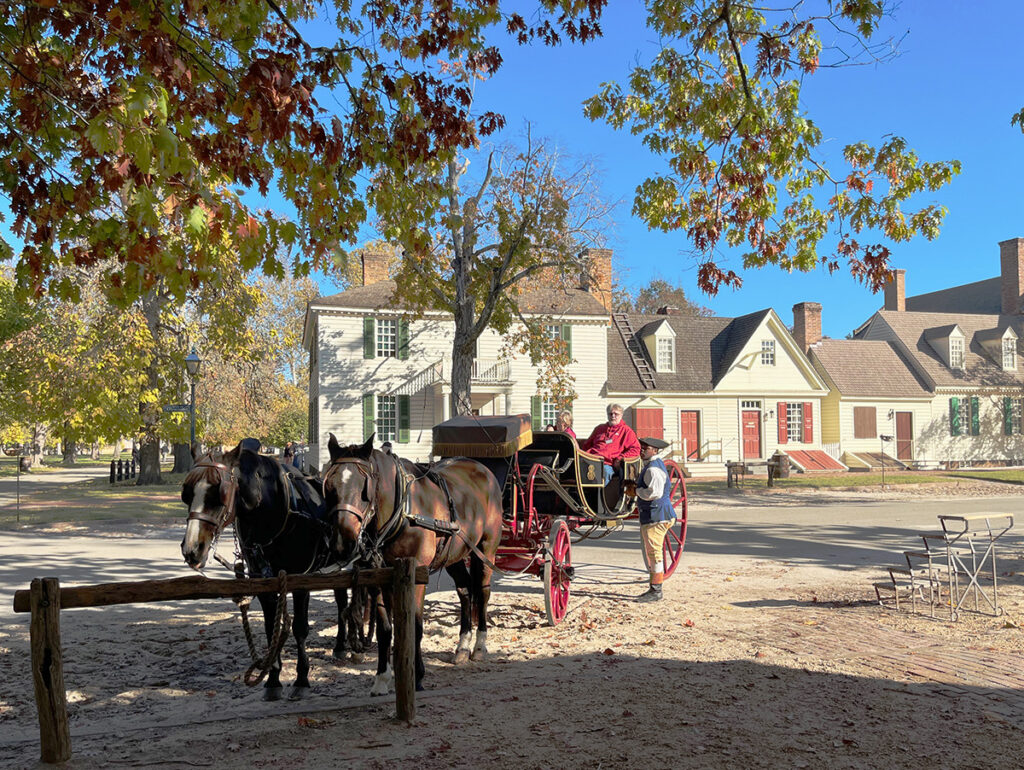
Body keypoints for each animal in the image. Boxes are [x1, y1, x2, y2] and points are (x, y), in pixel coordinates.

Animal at [181, 442, 368, 700]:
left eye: (218, 493)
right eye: (187, 494)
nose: (192, 548)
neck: (275, 514)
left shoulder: (301, 580)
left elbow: (300, 628)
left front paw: (301, 678)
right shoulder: (263, 582)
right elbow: (272, 629)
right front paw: (273, 679)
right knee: (341, 601)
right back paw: (340, 645)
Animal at [323, 436, 503, 696]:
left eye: (364, 488)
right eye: (329, 486)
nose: (342, 541)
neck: (403, 512)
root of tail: (482, 468)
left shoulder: (417, 577)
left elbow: (415, 626)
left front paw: (416, 676)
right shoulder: (378, 578)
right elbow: (385, 629)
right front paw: (383, 677)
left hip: (486, 550)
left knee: (483, 592)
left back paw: (479, 646)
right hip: (455, 555)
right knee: (465, 591)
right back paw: (462, 646)